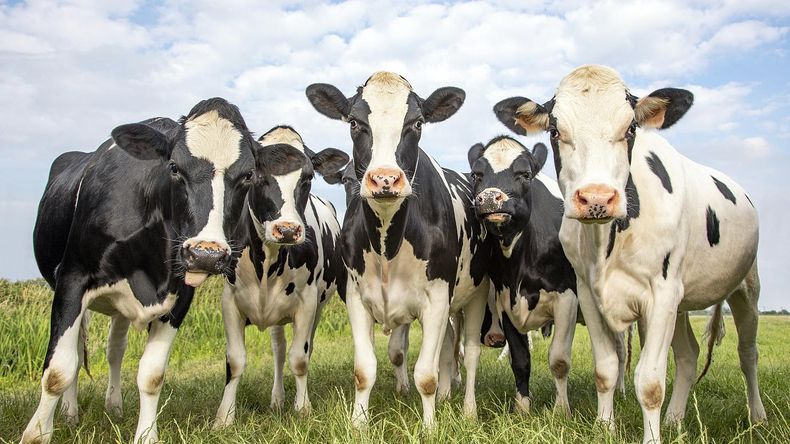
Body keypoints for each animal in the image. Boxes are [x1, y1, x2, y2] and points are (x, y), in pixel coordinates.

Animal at [24, 98, 257, 444]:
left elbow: (152, 375)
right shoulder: (72, 279)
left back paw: (114, 406)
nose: (206, 254)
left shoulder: (179, 296)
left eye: (248, 176)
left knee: (115, 351)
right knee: (77, 352)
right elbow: (57, 371)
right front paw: (37, 433)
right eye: (174, 168)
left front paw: (146, 435)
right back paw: (70, 413)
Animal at [213, 126, 349, 426]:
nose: (287, 230)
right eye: (254, 175)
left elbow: (300, 357)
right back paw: (276, 399)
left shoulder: (308, 302)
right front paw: (224, 417)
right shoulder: (230, 301)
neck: (267, 263)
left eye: (308, 177)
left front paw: (303, 408)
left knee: (300, 348)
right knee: (278, 349)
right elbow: (235, 360)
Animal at [306, 72, 491, 427]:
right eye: (354, 122)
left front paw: (430, 428)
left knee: (471, 352)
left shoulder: (437, 299)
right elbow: (364, 370)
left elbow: (426, 375)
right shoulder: (355, 297)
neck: (387, 245)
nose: (385, 179)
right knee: (449, 346)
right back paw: (446, 396)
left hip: (476, 292)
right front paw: (358, 424)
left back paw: (468, 410)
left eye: (417, 123)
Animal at [467, 136, 578, 414]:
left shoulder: (567, 297)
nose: (489, 198)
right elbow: (520, 360)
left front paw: (561, 411)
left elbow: (559, 359)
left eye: (525, 174)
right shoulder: (506, 301)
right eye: (476, 175)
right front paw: (522, 409)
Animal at [494, 64, 765, 443]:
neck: (606, 242)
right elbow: (606, 368)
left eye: (631, 128)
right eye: (555, 130)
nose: (596, 198)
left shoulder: (661, 294)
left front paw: (651, 437)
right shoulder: (588, 294)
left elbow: (650, 382)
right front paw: (604, 427)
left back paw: (757, 417)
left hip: (746, 289)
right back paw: (674, 419)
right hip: (682, 304)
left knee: (747, 353)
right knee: (688, 356)